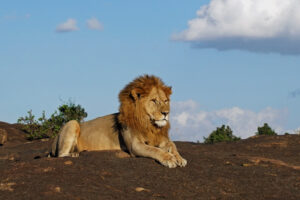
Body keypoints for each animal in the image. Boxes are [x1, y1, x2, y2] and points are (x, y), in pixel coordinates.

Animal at [51, 74, 188, 167]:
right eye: (154, 101)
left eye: (165, 101)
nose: (166, 113)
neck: (149, 124)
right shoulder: (134, 145)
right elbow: (154, 150)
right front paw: (169, 159)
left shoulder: (160, 138)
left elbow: (172, 144)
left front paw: (180, 158)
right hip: (72, 123)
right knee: (60, 155)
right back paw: (74, 154)